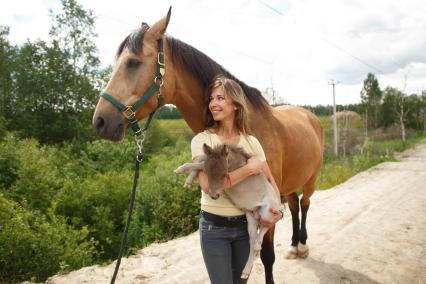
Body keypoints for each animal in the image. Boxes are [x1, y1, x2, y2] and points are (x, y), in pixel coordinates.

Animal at [92, 7, 322, 282]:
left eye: (133, 62)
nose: (100, 121)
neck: (246, 123)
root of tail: (309, 116)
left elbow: (266, 257)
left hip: (309, 181)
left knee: (305, 205)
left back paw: (303, 245)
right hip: (287, 187)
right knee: (295, 206)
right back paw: (294, 246)